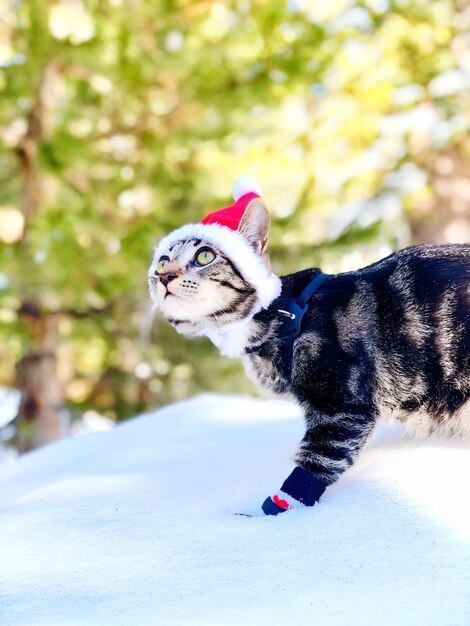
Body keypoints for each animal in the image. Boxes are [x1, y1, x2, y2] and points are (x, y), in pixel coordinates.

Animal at [148, 193, 470, 516]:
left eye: (204, 256)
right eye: (162, 261)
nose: (163, 275)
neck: (278, 318)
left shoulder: (341, 408)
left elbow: (314, 466)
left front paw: (268, 516)